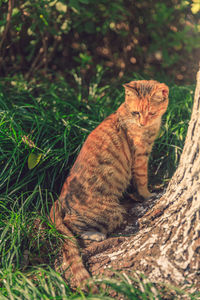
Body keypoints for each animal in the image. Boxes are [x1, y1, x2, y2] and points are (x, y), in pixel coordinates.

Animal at [50, 79, 169, 288]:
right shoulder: (140, 157)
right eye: (136, 113)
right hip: (112, 212)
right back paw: (95, 235)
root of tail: (60, 200)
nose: (142, 122)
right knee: (71, 224)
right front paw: (148, 195)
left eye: (151, 113)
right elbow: (142, 180)